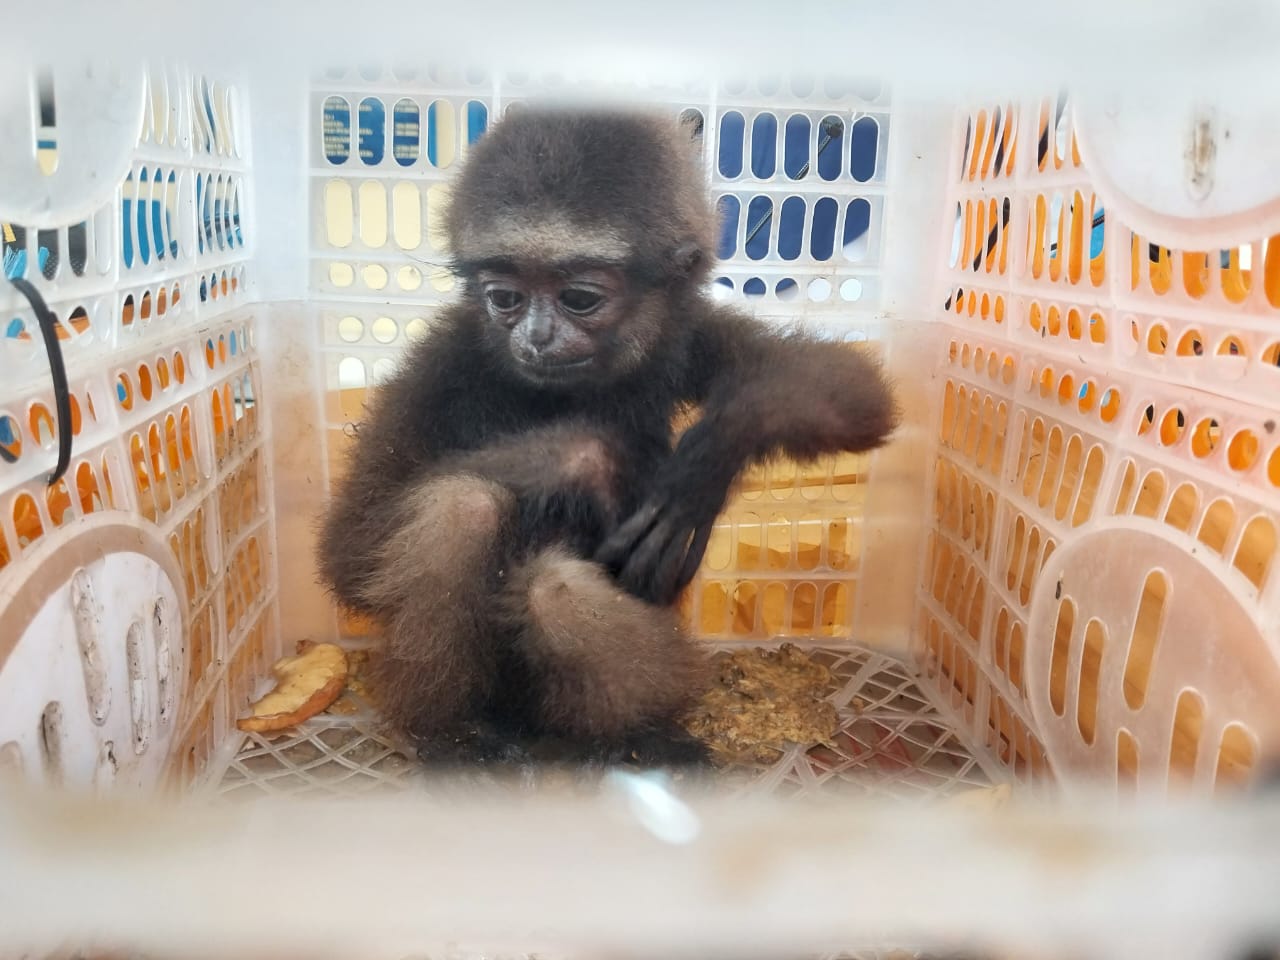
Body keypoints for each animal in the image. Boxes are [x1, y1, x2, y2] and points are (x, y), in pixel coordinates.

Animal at [316, 104, 899, 776]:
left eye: (579, 298)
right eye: (505, 298)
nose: (536, 336)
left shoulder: (687, 333)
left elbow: (850, 390)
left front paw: (701, 467)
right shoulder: (446, 360)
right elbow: (349, 553)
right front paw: (600, 461)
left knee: (553, 590)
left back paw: (638, 737)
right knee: (461, 507)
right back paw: (455, 738)